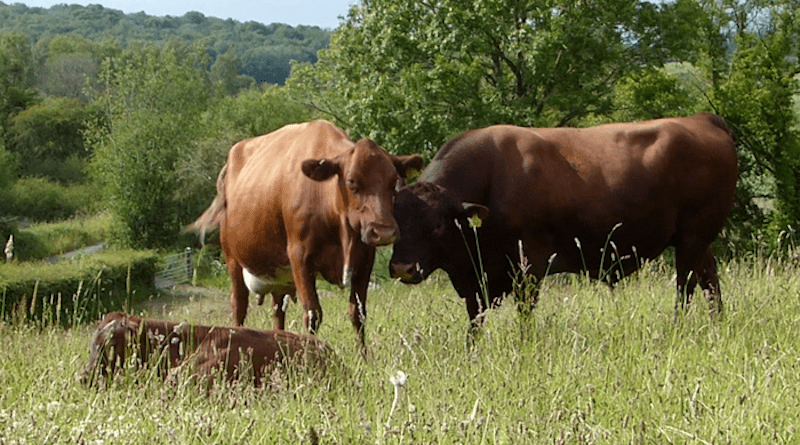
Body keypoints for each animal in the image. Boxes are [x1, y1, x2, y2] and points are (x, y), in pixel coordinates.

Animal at [191, 120, 424, 346]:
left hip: (278, 276)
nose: (383, 232)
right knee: (238, 305)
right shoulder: (299, 256)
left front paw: (364, 356)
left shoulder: (365, 259)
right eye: (351, 181)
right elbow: (313, 314)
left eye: (393, 182)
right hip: (233, 260)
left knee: (278, 311)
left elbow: (358, 314)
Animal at [388, 113, 736, 330]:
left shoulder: (529, 261)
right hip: (697, 239)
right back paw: (717, 323)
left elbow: (525, 311)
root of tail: (701, 119)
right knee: (709, 279)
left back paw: (678, 327)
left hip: (692, 237)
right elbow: (475, 319)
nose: (402, 268)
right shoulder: (477, 280)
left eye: (437, 226)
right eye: (396, 222)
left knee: (686, 285)